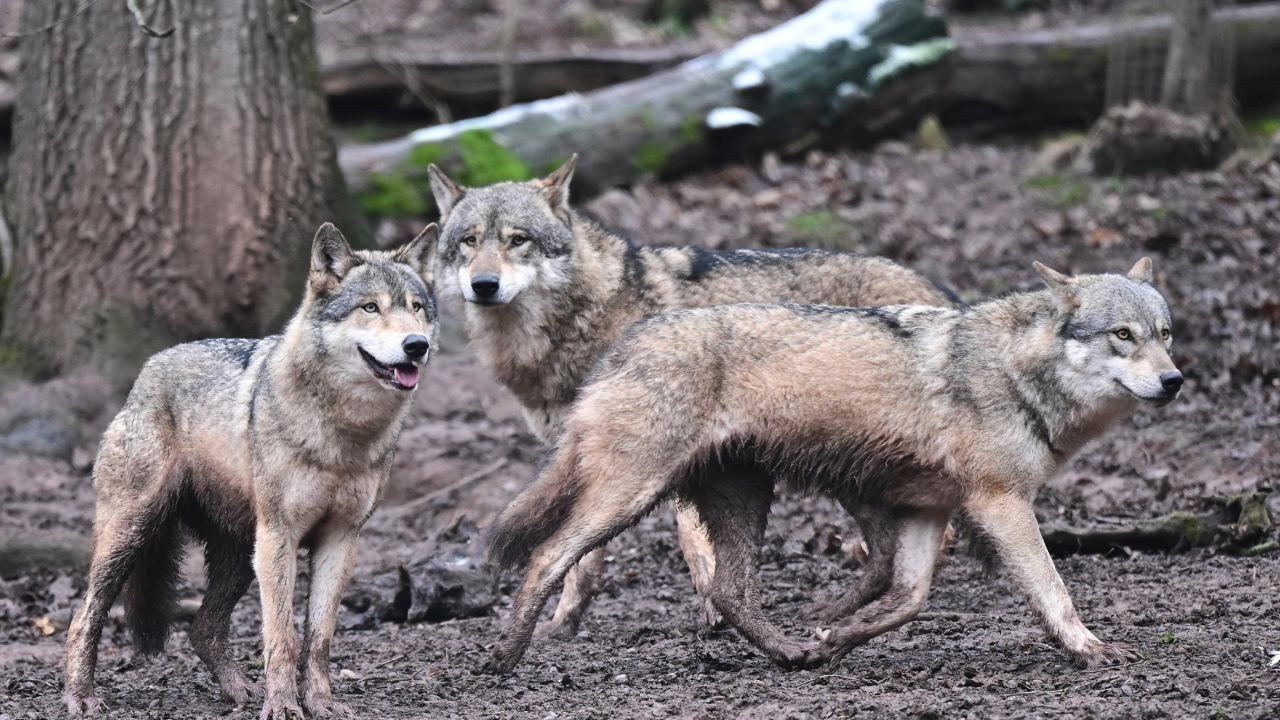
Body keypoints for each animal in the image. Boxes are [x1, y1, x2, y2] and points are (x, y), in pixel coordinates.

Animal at [62, 223, 439, 720]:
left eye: (416, 308)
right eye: (371, 307)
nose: (417, 346)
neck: (343, 434)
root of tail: (147, 370)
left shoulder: (341, 539)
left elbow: (319, 638)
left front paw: (320, 703)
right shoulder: (280, 536)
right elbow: (282, 636)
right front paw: (283, 707)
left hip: (239, 555)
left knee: (201, 627)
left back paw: (239, 690)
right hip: (135, 534)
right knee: (83, 615)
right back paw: (80, 696)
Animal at [427, 155, 954, 637]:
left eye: (518, 240)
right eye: (470, 241)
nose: (484, 285)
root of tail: (941, 292)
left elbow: (690, 541)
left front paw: (714, 611)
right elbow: (583, 560)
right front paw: (563, 623)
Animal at [485, 258, 1182, 673]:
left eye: (1164, 333)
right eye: (1122, 335)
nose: (1174, 381)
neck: (1018, 374)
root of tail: (622, 346)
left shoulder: (930, 510)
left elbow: (909, 598)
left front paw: (835, 637)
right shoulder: (1000, 503)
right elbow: (1053, 590)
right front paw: (1089, 648)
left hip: (746, 497)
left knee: (728, 591)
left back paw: (792, 653)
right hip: (630, 497)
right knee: (546, 557)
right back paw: (503, 660)